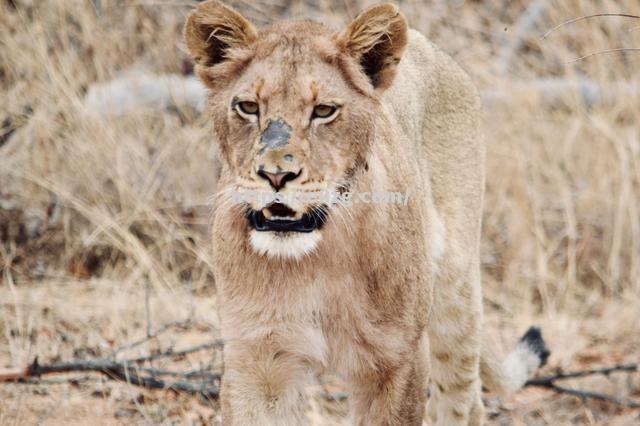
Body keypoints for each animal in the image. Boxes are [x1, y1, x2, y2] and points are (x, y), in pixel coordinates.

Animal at [184, 1, 552, 424]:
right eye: (247, 107)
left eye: (324, 110)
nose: (276, 175)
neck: (316, 261)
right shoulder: (257, 361)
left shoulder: (397, 360)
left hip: (456, 289)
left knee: (463, 398)